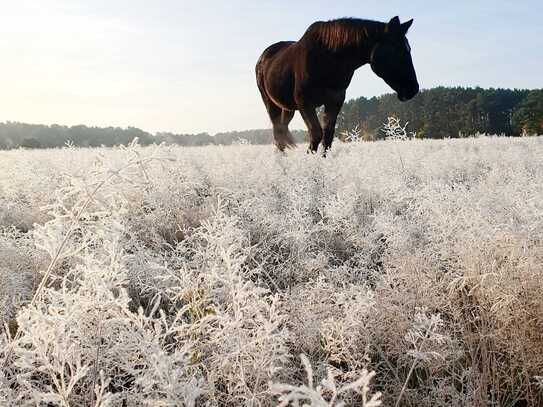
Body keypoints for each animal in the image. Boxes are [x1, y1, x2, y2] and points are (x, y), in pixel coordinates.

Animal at [256, 16, 420, 155]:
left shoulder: (335, 100)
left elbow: (327, 136)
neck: (329, 60)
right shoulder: (304, 102)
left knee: (282, 131)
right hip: (270, 102)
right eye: (398, 51)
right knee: (278, 132)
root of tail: (263, 57)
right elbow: (316, 133)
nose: (413, 89)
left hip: (287, 108)